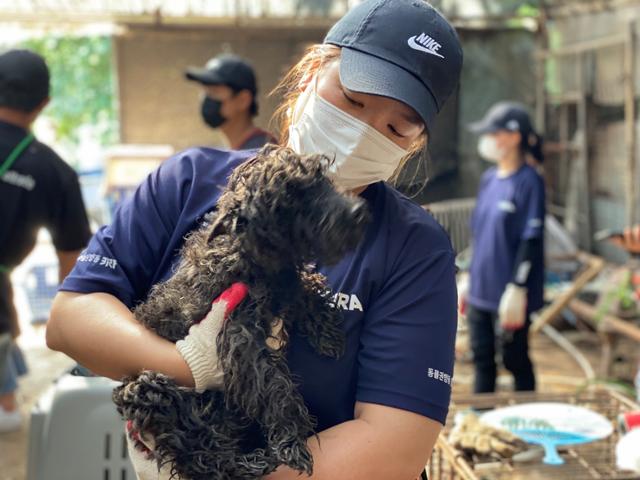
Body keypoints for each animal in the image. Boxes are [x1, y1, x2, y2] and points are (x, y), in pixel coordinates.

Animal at [110, 144, 370, 478]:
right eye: (290, 200)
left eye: (323, 183)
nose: (359, 212)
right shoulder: (240, 337)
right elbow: (275, 385)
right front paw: (291, 439)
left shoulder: (284, 283)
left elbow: (305, 289)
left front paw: (328, 333)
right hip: (151, 392)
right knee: (203, 457)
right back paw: (255, 462)